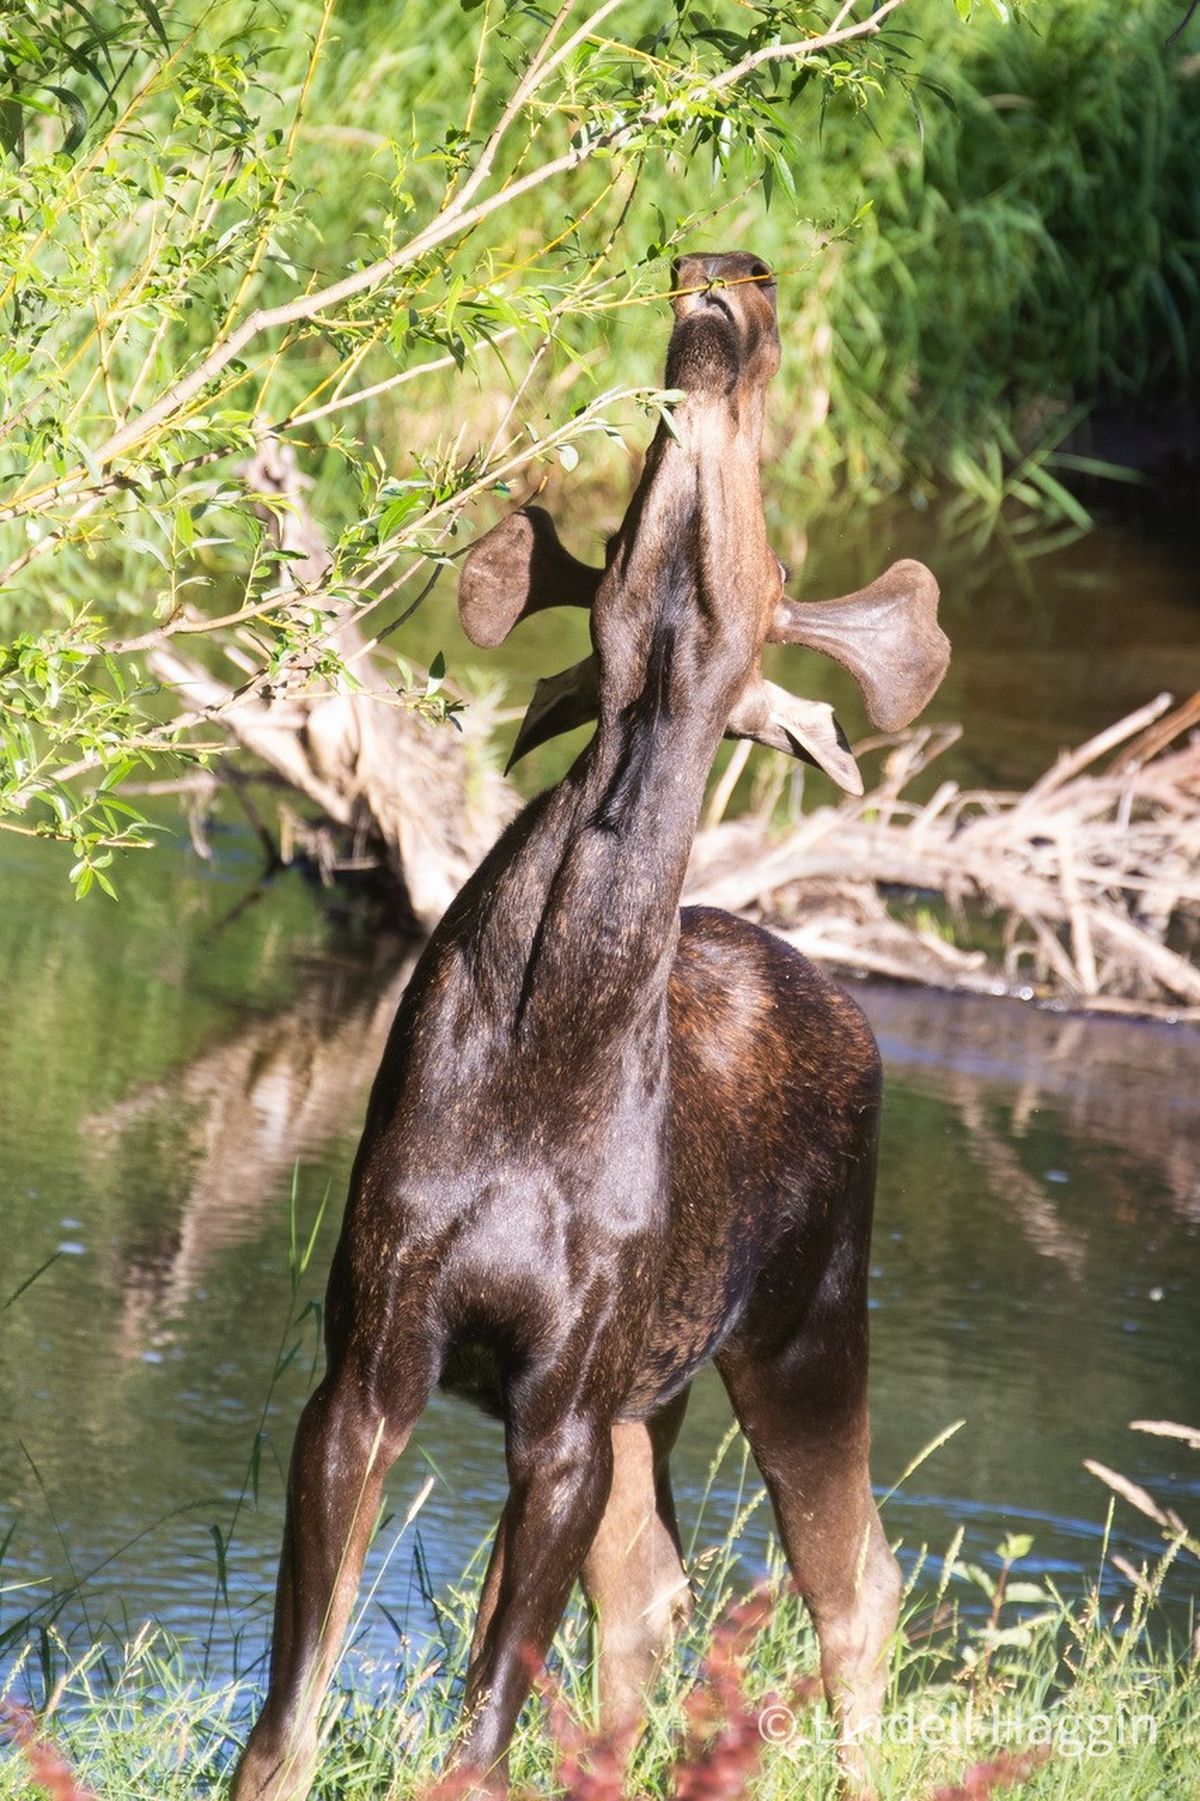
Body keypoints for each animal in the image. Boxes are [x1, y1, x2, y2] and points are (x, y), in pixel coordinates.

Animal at [230, 251, 948, 1801]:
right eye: (623, 524)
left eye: (774, 569)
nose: (734, 280)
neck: (544, 1049)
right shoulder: (373, 1366)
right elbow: (288, 1718)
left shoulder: (556, 1409)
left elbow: (481, 1725)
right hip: (650, 1394)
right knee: (659, 1593)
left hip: (804, 1325)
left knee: (854, 1580)